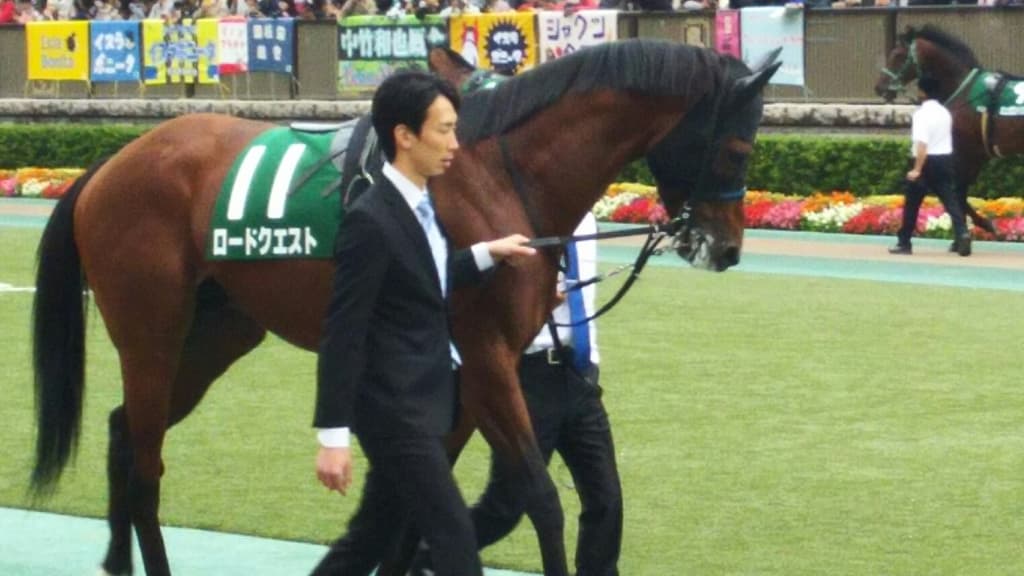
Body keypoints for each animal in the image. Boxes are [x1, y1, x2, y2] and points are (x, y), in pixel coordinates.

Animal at [31, 39, 780, 576]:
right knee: (147, 466)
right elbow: (537, 498)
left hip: (219, 332)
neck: (497, 175)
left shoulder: (462, 377)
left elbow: (415, 508)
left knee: (126, 432)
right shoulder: (486, 358)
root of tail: (110, 165)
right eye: (738, 145)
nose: (726, 248)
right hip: (151, 332)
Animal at [874, 25, 1024, 236]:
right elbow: (954, 192)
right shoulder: (975, 154)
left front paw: (983, 225)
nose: (879, 87)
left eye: (897, 55)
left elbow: (956, 193)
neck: (963, 89)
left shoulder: (967, 152)